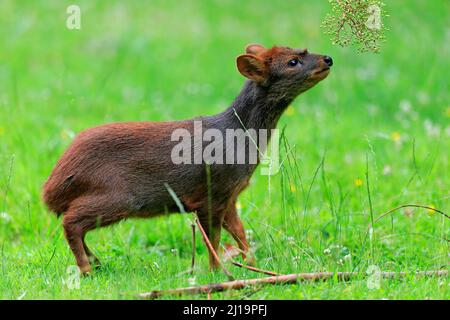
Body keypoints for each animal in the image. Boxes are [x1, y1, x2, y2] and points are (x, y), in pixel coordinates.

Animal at [42, 43, 332, 274]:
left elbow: (240, 233)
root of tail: (53, 185)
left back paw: (96, 262)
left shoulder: (230, 195)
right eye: (292, 61)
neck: (239, 140)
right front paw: (217, 272)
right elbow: (213, 239)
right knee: (71, 221)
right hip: (118, 194)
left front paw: (253, 265)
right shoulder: (210, 193)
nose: (328, 59)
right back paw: (87, 268)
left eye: (303, 49)